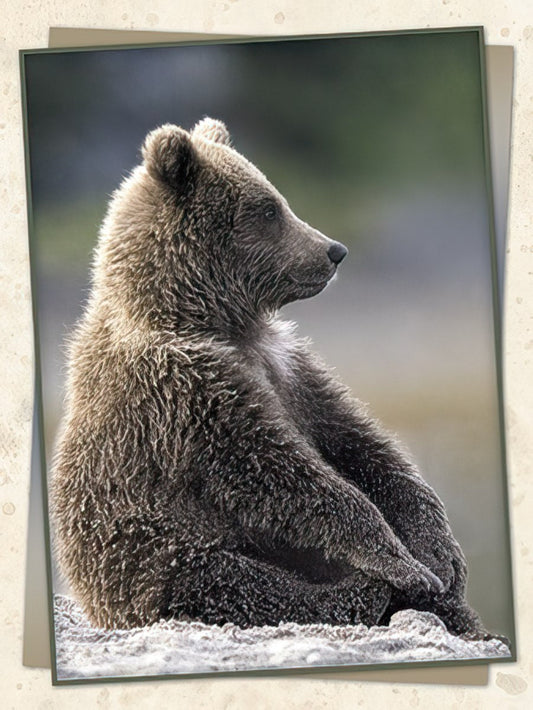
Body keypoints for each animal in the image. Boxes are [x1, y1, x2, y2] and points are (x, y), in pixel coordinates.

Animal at [51, 116, 490, 640]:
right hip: (145, 552)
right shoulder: (181, 389)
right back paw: (358, 593)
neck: (210, 318)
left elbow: (362, 446)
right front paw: (399, 563)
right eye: (268, 209)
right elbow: (277, 472)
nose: (335, 250)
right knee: (230, 583)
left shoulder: (288, 368)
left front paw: (440, 557)